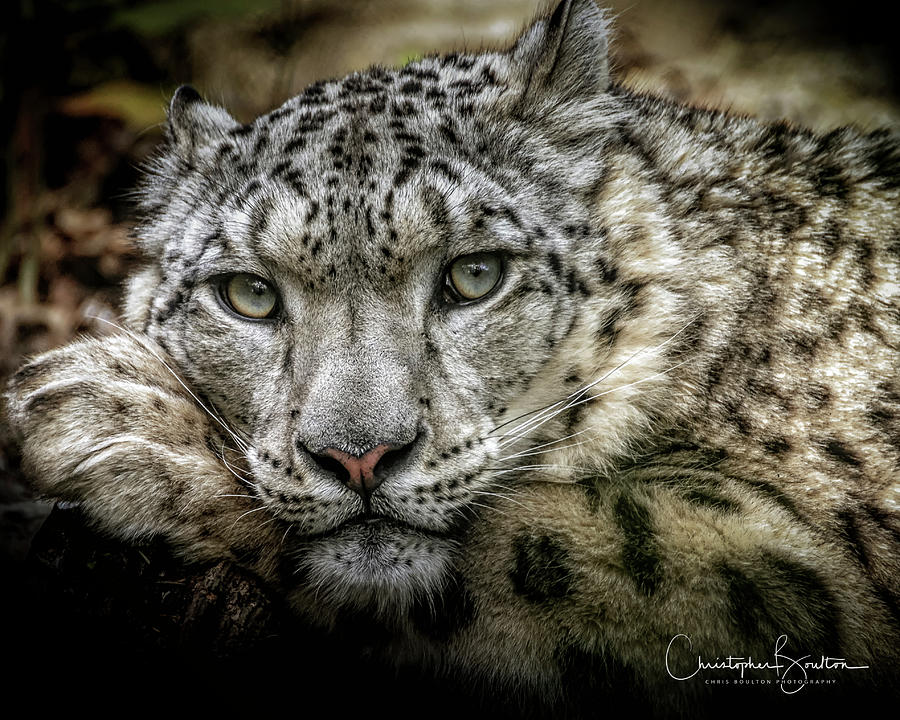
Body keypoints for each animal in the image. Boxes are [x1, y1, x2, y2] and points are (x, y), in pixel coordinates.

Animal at [5, 0, 900, 714]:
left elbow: (555, 545)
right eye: (249, 294)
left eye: (475, 275)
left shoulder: (770, 560)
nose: (359, 457)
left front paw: (118, 424)